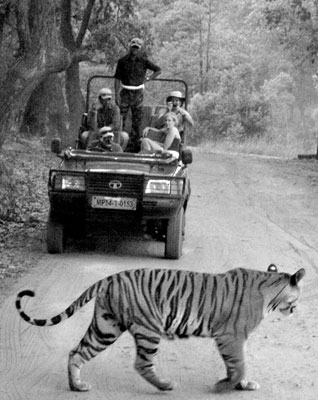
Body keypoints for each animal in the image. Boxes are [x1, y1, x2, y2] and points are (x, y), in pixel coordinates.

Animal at [15, 264, 306, 392]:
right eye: (297, 297)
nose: (296, 309)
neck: (271, 291)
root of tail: (109, 277)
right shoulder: (231, 337)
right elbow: (239, 364)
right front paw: (224, 385)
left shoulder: (234, 339)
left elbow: (240, 365)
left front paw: (243, 384)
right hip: (147, 330)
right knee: (142, 363)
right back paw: (166, 385)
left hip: (106, 326)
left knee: (77, 352)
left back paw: (76, 386)